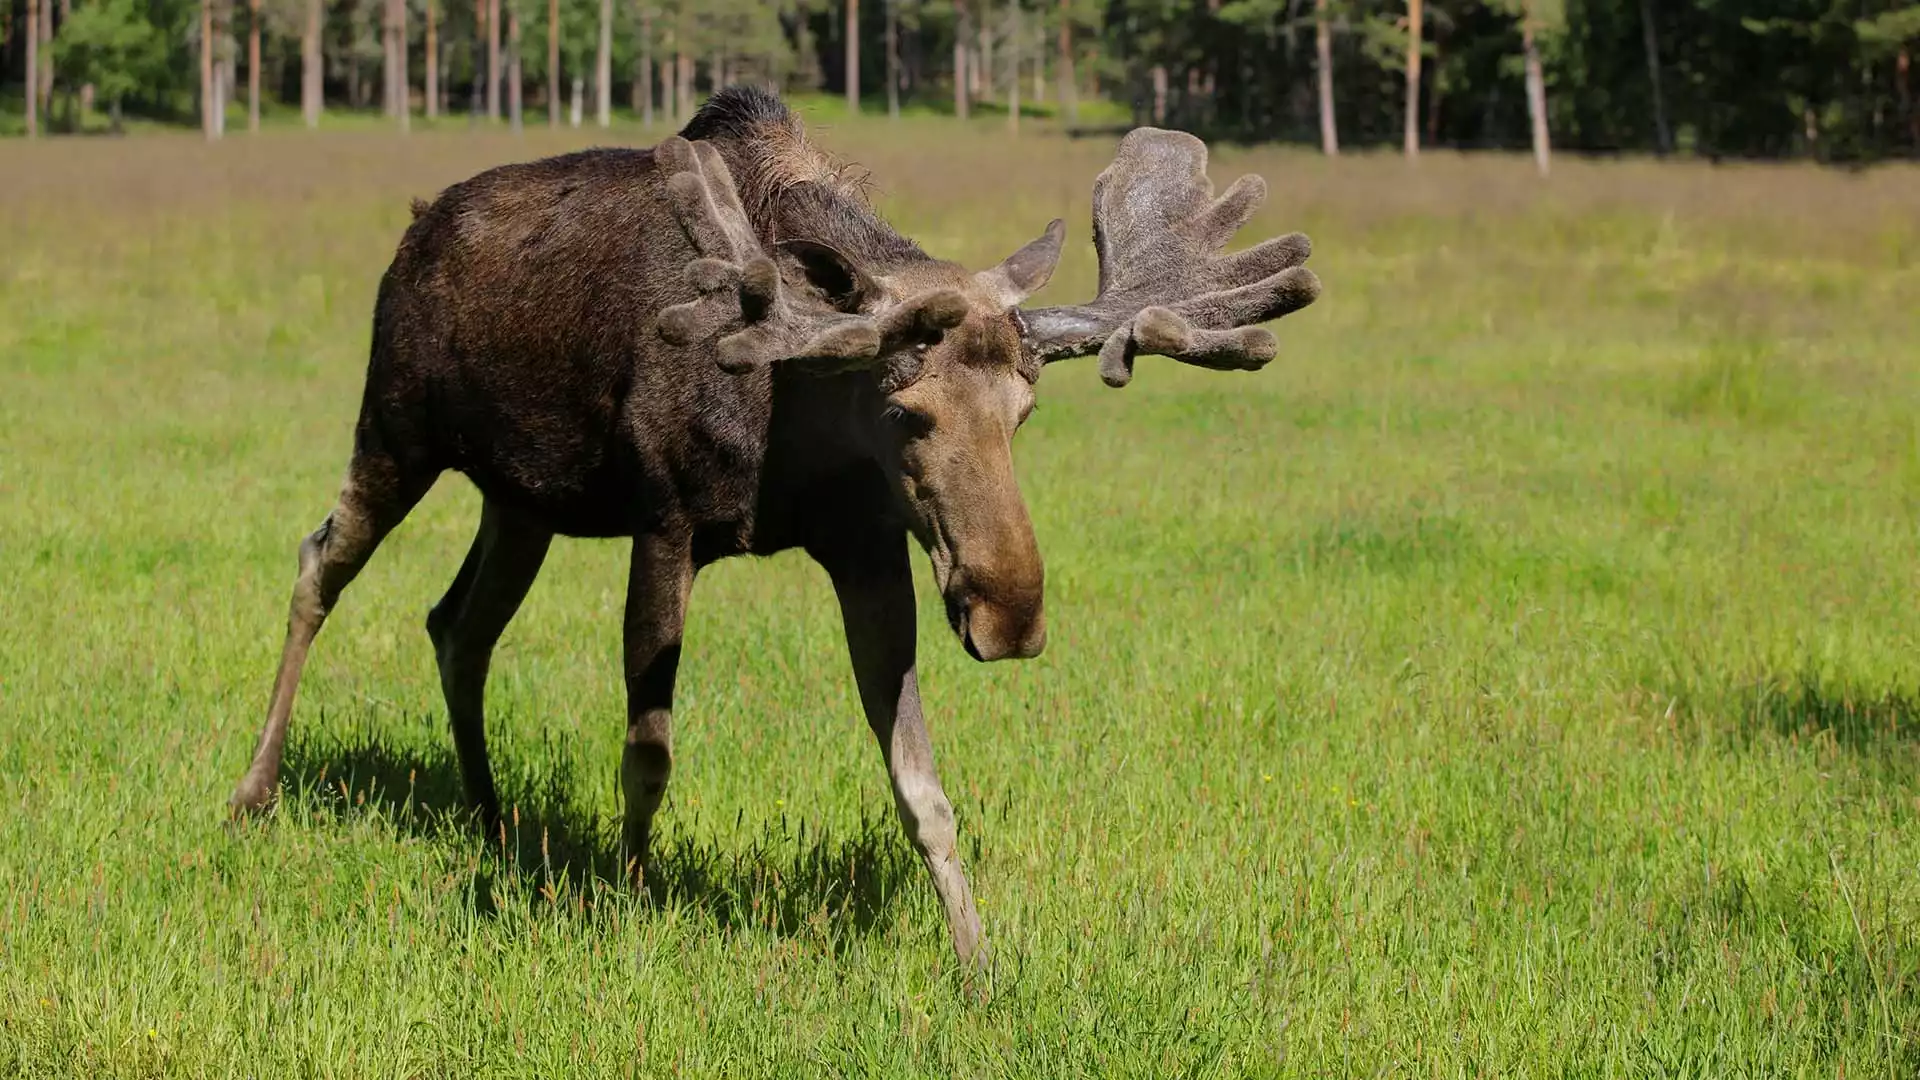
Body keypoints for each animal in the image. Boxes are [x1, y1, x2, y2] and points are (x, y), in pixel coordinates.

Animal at [228, 85, 1320, 957]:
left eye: (1027, 411)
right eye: (906, 412)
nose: (1010, 615)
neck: (795, 415)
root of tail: (412, 231)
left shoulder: (870, 551)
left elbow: (923, 786)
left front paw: (977, 957)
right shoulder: (666, 521)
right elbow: (650, 751)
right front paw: (629, 900)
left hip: (521, 497)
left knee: (458, 624)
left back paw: (492, 817)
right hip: (396, 427)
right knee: (320, 562)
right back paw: (254, 791)